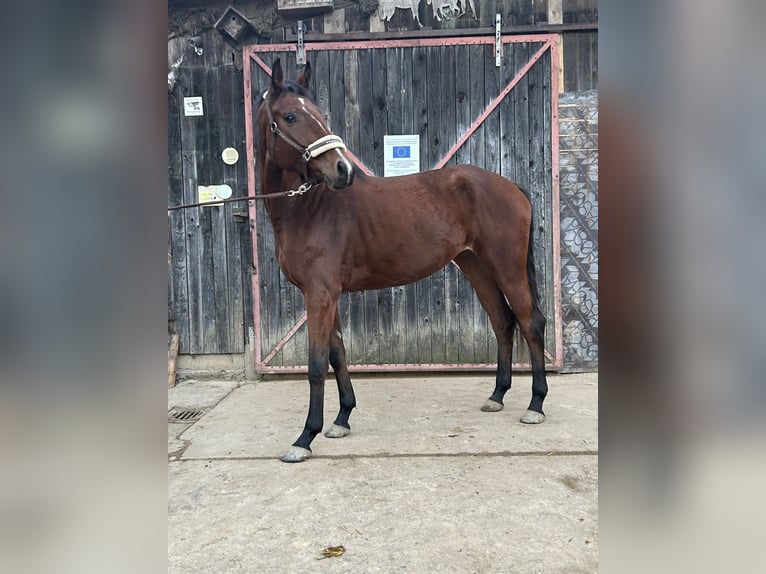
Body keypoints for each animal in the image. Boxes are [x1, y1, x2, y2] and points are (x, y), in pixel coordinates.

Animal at [260, 59, 548, 464]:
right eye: (289, 116)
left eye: (321, 115)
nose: (342, 170)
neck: (308, 208)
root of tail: (510, 186)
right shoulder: (326, 296)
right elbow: (337, 354)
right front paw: (342, 418)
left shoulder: (320, 294)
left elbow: (317, 365)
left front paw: (305, 437)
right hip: (476, 267)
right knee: (502, 323)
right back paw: (497, 396)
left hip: (507, 268)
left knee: (530, 323)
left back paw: (536, 405)